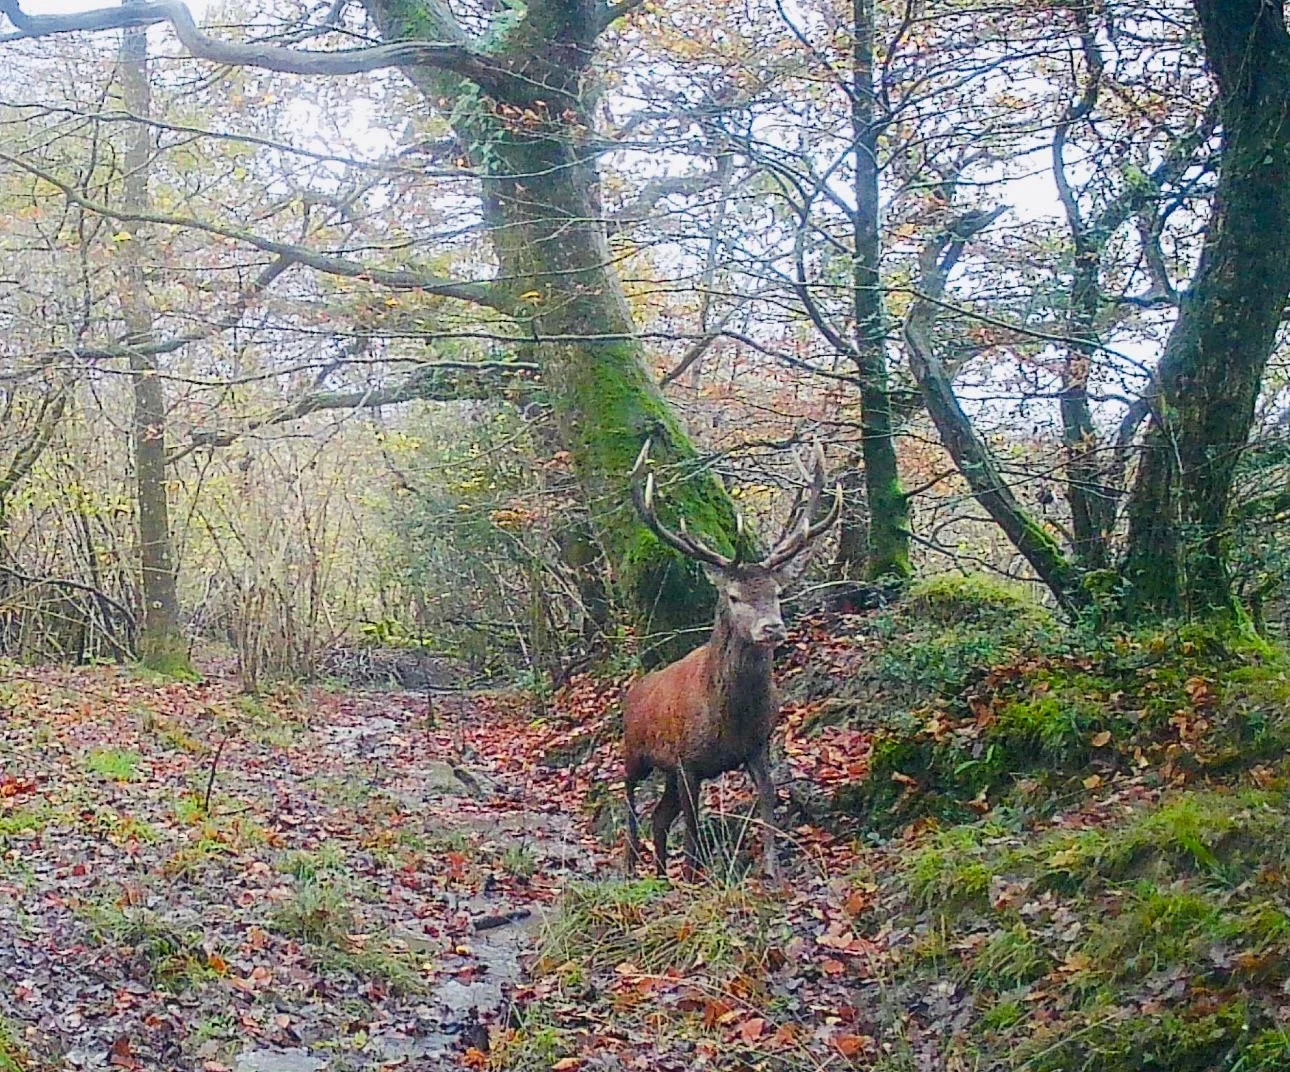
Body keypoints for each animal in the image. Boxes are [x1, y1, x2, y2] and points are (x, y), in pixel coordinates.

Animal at [622, 439, 842, 881]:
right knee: (629, 799)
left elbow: (768, 801)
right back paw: (632, 862)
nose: (772, 628)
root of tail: (632, 692)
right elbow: (693, 826)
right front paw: (693, 876)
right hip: (634, 751)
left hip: (664, 771)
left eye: (777, 592)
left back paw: (659, 873)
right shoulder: (686, 760)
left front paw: (772, 870)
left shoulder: (757, 745)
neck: (729, 719)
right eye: (734, 596)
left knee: (659, 816)